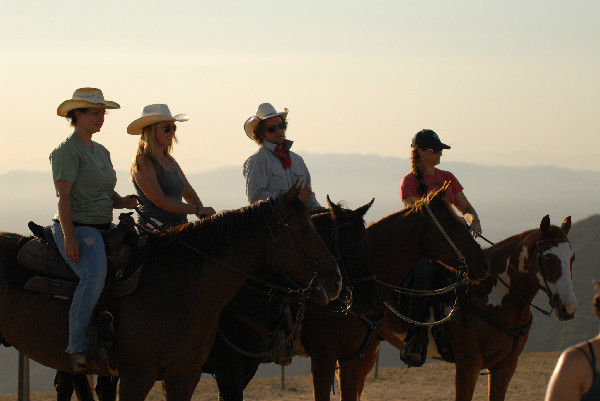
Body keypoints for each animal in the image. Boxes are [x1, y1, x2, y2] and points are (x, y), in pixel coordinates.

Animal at [352, 214, 576, 400]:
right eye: (548, 258)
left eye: (572, 257)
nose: (569, 307)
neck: (490, 297)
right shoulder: (468, 365)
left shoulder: (506, 366)